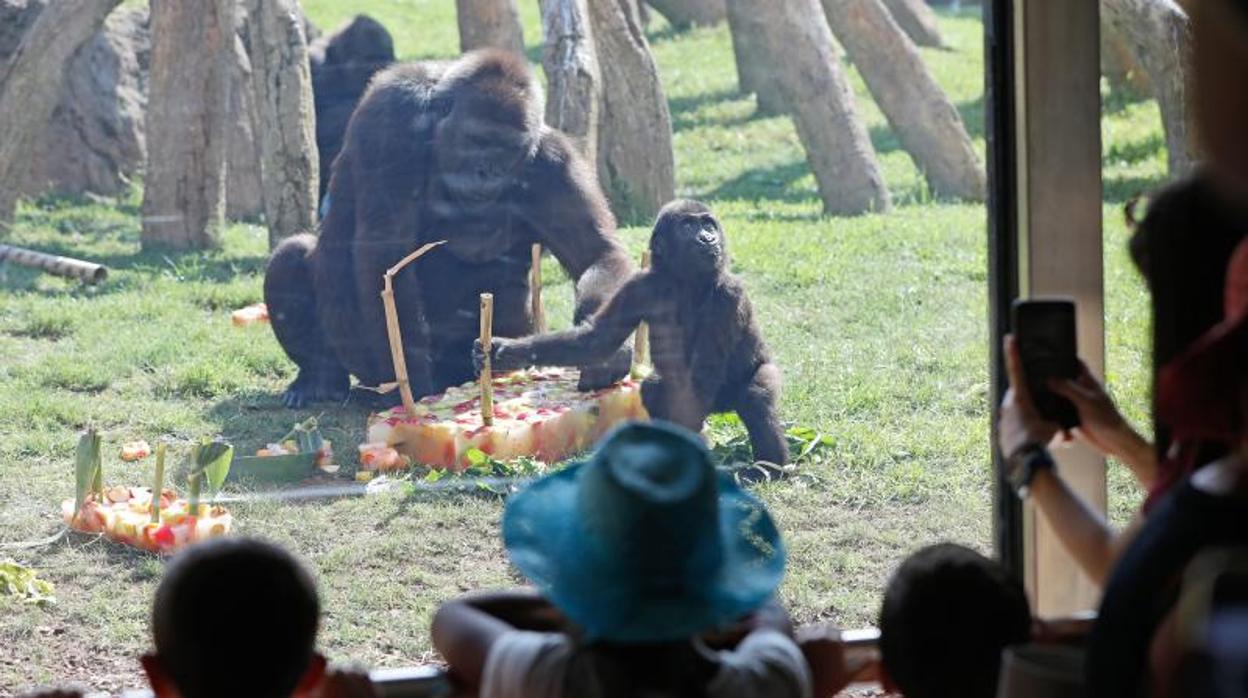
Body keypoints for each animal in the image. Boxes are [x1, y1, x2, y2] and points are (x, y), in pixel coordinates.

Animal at [263, 50, 633, 409]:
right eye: (476, 140)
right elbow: (387, 257)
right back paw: (319, 378)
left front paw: (601, 349)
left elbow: (597, 253)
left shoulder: (554, 161)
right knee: (290, 256)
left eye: (507, 150)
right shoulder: (392, 119)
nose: (486, 172)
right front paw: (413, 387)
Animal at [479, 199, 788, 466]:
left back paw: (769, 467)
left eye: (708, 224)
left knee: (756, 395)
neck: (683, 280)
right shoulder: (638, 286)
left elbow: (705, 372)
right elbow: (596, 339)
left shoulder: (729, 293)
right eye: (689, 226)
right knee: (654, 389)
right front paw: (505, 351)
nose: (708, 238)